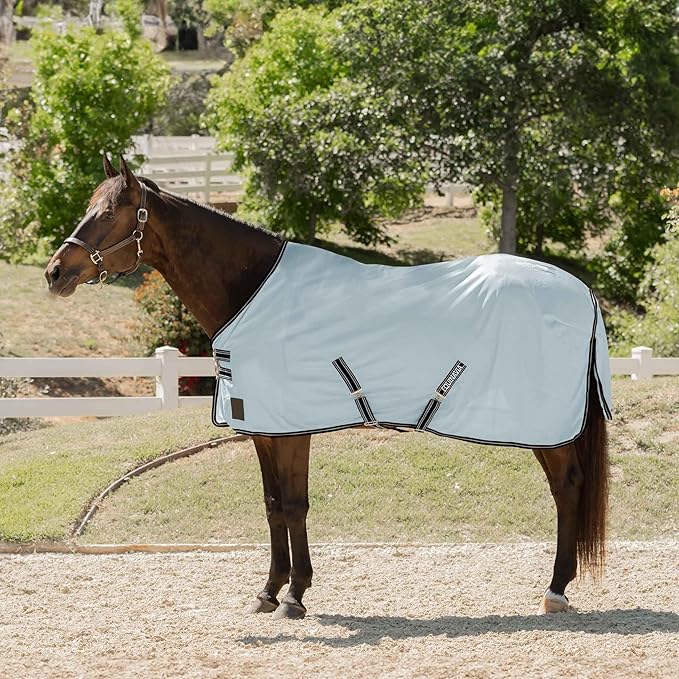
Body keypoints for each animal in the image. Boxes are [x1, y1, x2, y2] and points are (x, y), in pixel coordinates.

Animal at [44, 156, 609, 620]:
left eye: (110, 213)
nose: (55, 272)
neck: (253, 290)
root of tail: (582, 291)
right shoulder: (264, 430)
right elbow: (273, 504)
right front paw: (268, 591)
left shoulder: (295, 430)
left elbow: (295, 505)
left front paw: (295, 596)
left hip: (545, 427)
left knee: (567, 486)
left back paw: (556, 590)